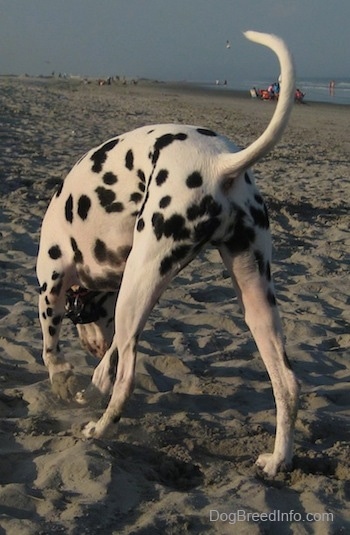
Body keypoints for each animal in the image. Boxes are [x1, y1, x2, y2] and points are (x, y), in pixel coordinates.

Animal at [37, 32, 300, 478]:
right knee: (287, 383)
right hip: (250, 297)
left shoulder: (52, 285)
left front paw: (63, 381)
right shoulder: (119, 301)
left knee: (127, 377)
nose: (92, 347)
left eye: (80, 314)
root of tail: (221, 163)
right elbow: (109, 356)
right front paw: (92, 380)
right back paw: (278, 459)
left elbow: (50, 349)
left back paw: (100, 428)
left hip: (140, 285)